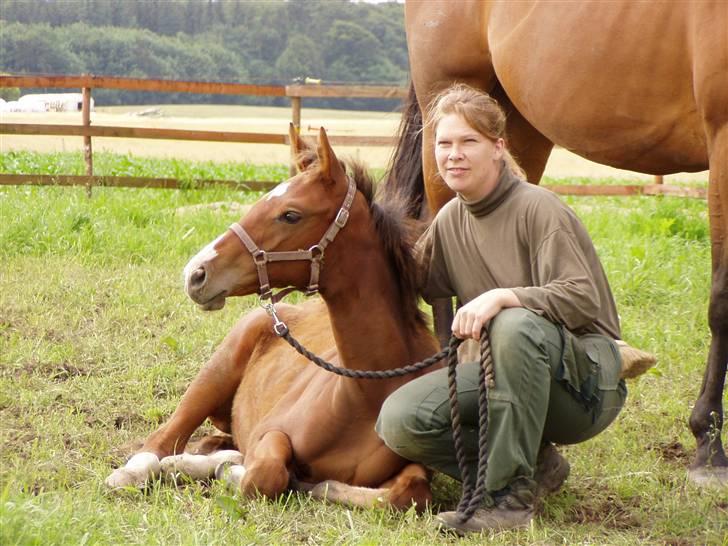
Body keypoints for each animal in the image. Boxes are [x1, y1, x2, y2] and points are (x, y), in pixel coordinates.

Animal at [105, 125, 440, 508]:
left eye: (290, 214)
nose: (196, 273)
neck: (366, 395)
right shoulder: (271, 431)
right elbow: (265, 474)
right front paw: (230, 471)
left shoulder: (415, 468)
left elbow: (407, 492)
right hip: (214, 374)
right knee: (162, 441)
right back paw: (140, 472)